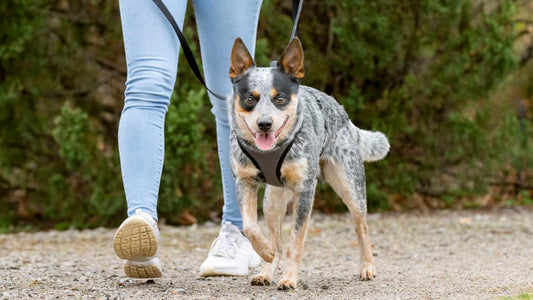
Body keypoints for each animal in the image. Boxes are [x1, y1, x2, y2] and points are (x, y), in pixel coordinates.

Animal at [227, 36, 388, 290]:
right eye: (249, 99)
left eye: (280, 98)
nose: (264, 124)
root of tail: (342, 112)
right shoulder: (244, 181)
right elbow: (250, 227)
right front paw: (265, 252)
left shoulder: (305, 190)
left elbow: (296, 241)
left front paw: (289, 278)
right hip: (272, 202)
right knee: (276, 239)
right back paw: (267, 271)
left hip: (350, 187)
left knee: (361, 226)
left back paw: (367, 267)